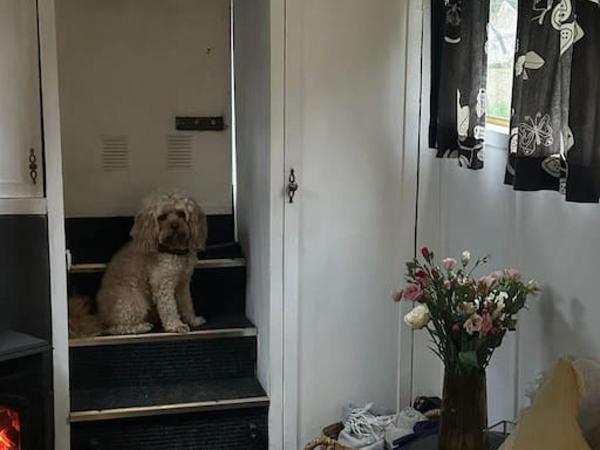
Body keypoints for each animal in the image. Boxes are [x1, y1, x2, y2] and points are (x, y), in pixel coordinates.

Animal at [68, 192, 207, 336]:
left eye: (181, 214)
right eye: (162, 217)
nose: (174, 225)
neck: (174, 250)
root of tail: (100, 318)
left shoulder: (182, 283)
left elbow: (186, 303)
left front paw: (193, 320)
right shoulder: (162, 284)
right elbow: (169, 308)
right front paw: (176, 325)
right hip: (135, 302)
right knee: (116, 328)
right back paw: (142, 327)